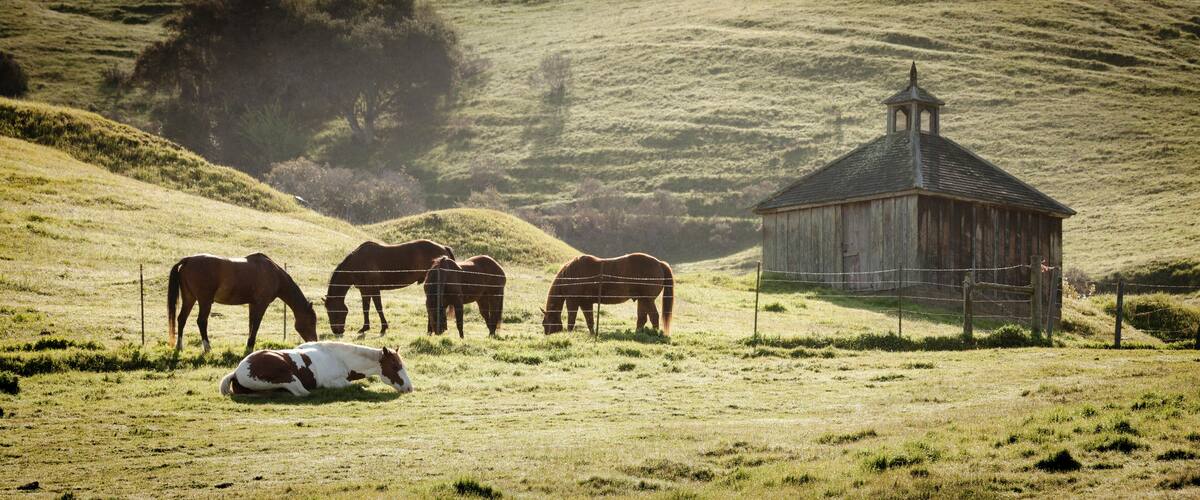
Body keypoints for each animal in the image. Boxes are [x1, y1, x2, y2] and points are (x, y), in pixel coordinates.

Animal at [168, 253, 317, 354]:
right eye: (312, 322)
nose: (314, 340)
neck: (274, 273)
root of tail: (188, 260)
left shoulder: (252, 304)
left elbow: (251, 325)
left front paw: (249, 346)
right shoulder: (261, 304)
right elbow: (256, 325)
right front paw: (250, 347)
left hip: (189, 299)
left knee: (181, 319)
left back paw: (179, 346)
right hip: (205, 301)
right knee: (201, 321)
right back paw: (207, 348)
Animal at [219, 342, 412, 397]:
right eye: (395, 366)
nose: (410, 388)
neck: (339, 358)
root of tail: (237, 372)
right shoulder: (335, 382)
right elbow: (356, 387)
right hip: (289, 378)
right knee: (301, 392)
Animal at [324, 240, 455, 336]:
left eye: (332, 312)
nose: (336, 331)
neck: (357, 263)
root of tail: (443, 248)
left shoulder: (374, 289)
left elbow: (378, 308)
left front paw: (383, 328)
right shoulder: (364, 290)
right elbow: (365, 308)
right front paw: (365, 328)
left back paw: (430, 330)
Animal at [541, 253, 674, 335]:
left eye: (544, 323)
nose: (546, 334)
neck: (570, 276)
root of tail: (660, 263)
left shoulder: (572, 301)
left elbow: (571, 319)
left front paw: (569, 334)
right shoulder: (586, 303)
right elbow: (590, 320)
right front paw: (592, 334)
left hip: (647, 300)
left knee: (653, 317)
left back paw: (654, 334)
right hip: (643, 300)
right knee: (642, 318)